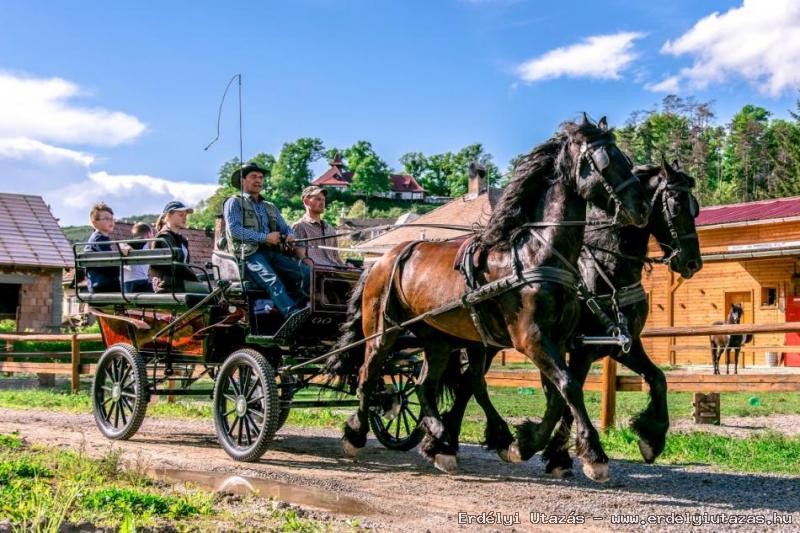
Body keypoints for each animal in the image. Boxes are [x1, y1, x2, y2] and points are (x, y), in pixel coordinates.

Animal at [328, 114, 652, 480]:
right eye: (605, 161)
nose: (642, 207)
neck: (535, 256)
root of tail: (381, 259)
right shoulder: (532, 339)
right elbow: (568, 386)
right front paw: (592, 455)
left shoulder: (558, 341)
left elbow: (557, 396)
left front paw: (525, 442)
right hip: (383, 332)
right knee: (368, 375)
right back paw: (356, 435)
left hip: (438, 339)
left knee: (426, 384)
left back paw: (440, 440)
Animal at [434, 158, 704, 478]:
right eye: (676, 204)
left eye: (695, 208)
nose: (692, 262)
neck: (607, 272)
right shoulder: (580, 350)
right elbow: (566, 398)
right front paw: (559, 453)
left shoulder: (621, 345)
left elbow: (658, 378)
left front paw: (651, 438)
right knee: (469, 383)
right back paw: (450, 442)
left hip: (488, 344)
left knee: (467, 384)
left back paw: (450, 441)